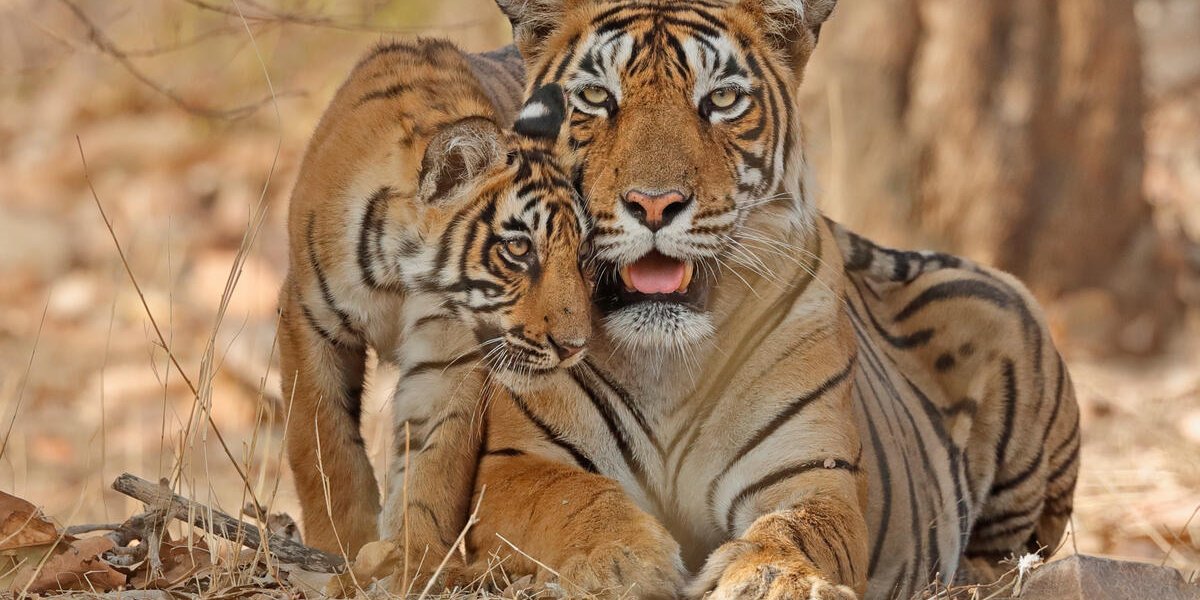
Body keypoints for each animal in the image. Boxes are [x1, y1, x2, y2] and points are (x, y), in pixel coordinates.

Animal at [276, 38, 594, 569]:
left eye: (583, 253)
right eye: (519, 248)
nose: (574, 347)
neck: (400, 276)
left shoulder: (449, 355)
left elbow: (434, 462)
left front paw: (414, 559)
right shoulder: (308, 318)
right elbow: (322, 443)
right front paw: (339, 546)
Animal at [385, 1, 1082, 599]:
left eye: (720, 100)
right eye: (596, 97)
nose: (654, 204)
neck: (665, 361)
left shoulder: (810, 471)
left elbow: (797, 527)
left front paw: (772, 578)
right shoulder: (514, 464)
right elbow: (572, 502)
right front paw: (623, 562)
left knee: (1019, 550)